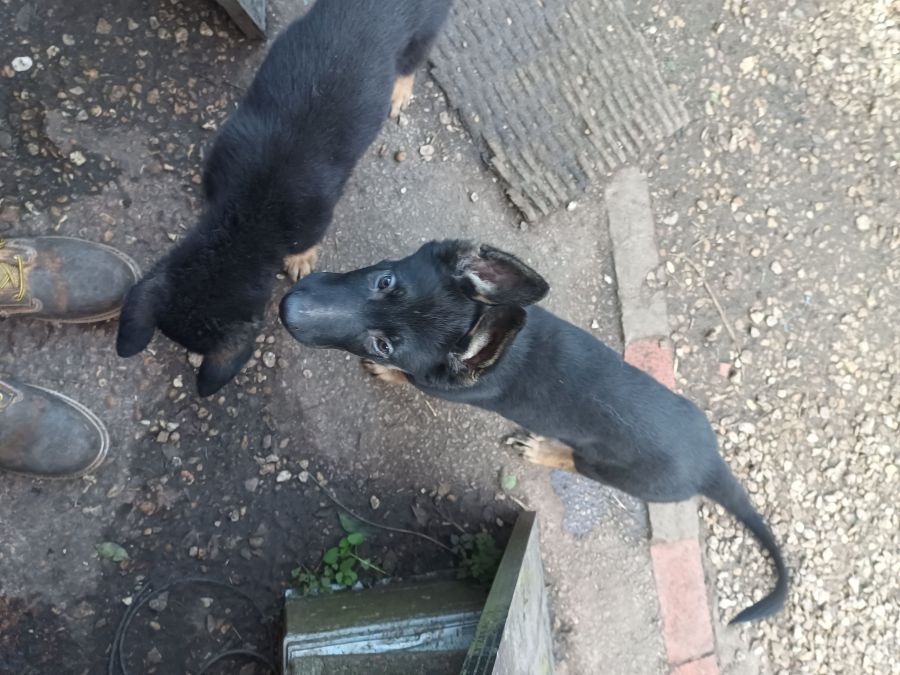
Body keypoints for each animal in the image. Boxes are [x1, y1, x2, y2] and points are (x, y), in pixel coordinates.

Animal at [116, 0, 451, 396]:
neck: (246, 221)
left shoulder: (313, 222)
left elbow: (304, 245)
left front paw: (300, 260)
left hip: (424, 31)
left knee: (412, 62)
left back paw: (399, 92)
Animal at [278, 239, 789, 623]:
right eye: (384, 280)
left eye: (384, 344)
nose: (287, 307)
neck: (496, 336)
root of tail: (709, 464)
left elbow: (406, 378)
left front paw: (388, 374)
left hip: (612, 469)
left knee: (577, 462)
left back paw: (542, 449)